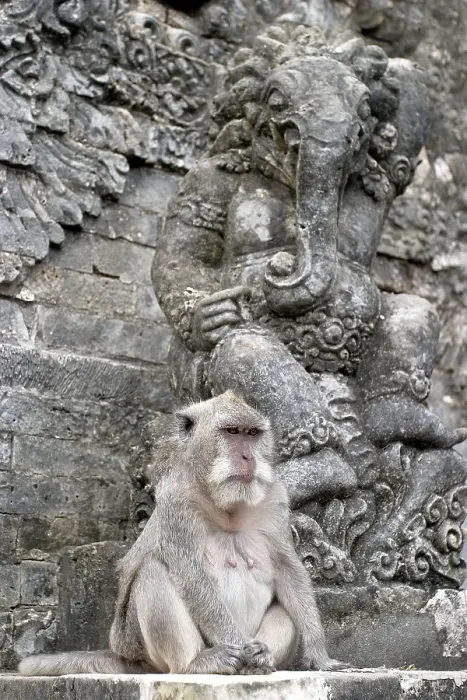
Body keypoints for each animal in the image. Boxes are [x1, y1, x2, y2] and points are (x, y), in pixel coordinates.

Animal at [19, 391, 350, 676]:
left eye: (252, 434)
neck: (226, 506)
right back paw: (196, 663)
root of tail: (126, 656)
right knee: (153, 573)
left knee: (284, 606)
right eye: (232, 432)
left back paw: (261, 655)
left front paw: (319, 656)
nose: (248, 458)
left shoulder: (275, 498)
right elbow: (191, 574)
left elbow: (288, 569)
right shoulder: (178, 502)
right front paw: (239, 647)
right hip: (141, 646)